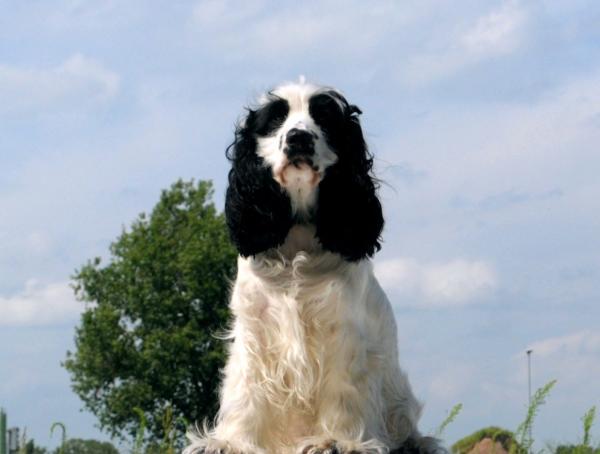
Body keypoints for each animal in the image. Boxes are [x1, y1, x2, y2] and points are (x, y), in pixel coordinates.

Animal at [185, 81, 442, 454]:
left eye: (324, 118)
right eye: (275, 119)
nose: (299, 138)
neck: (298, 239)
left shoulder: (342, 329)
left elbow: (343, 390)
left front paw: (336, 440)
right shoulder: (254, 328)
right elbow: (245, 388)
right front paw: (230, 442)